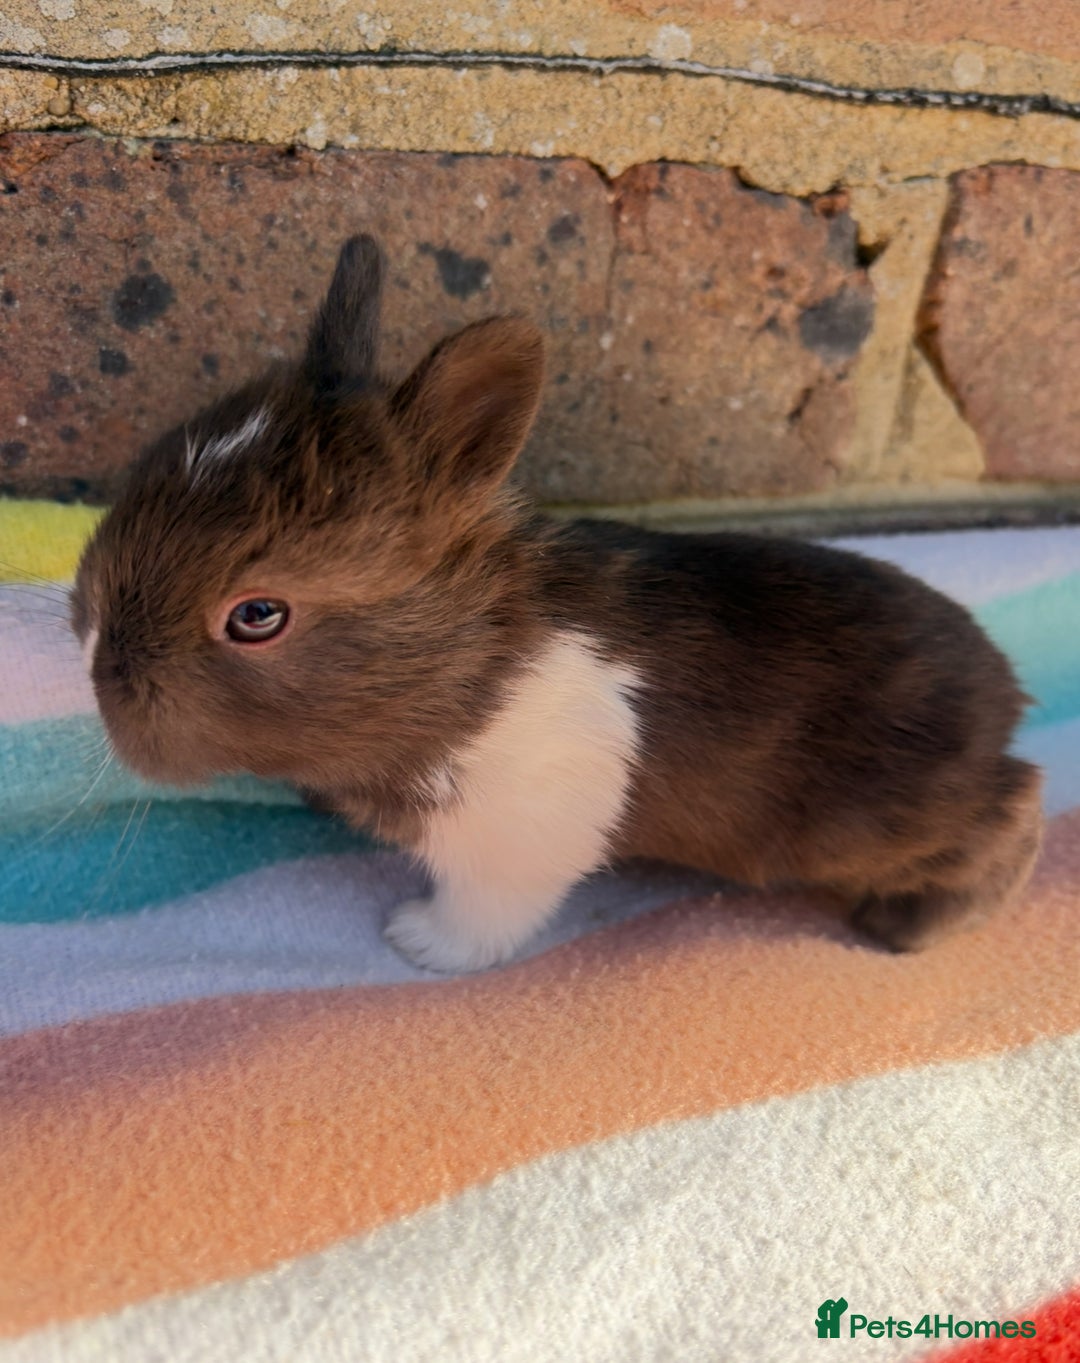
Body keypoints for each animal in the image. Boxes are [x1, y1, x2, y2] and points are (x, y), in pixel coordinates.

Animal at [71, 234, 1043, 972]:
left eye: (257, 615)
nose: (90, 649)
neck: (465, 665)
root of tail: (1005, 702)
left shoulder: (516, 841)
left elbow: (487, 915)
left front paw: (418, 942)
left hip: (883, 824)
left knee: (1016, 817)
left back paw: (902, 929)